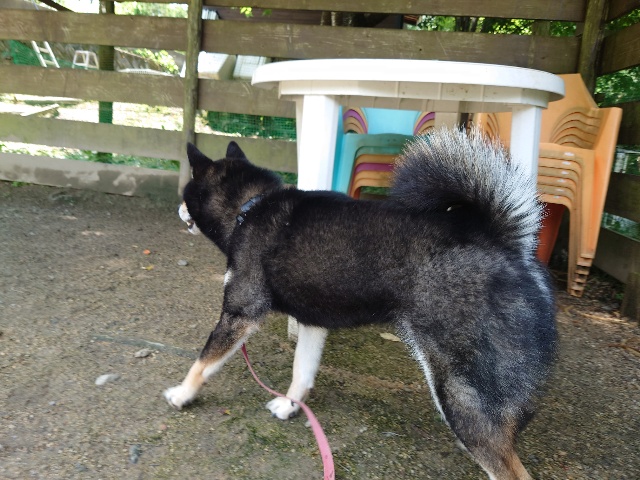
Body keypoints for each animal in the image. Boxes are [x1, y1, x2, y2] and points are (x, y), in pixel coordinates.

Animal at [164, 128, 556, 480]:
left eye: (185, 193)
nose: (177, 208)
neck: (249, 207)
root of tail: (505, 245)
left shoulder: (240, 313)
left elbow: (203, 363)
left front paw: (182, 393)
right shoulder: (313, 322)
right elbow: (302, 371)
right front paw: (290, 405)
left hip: (461, 395)